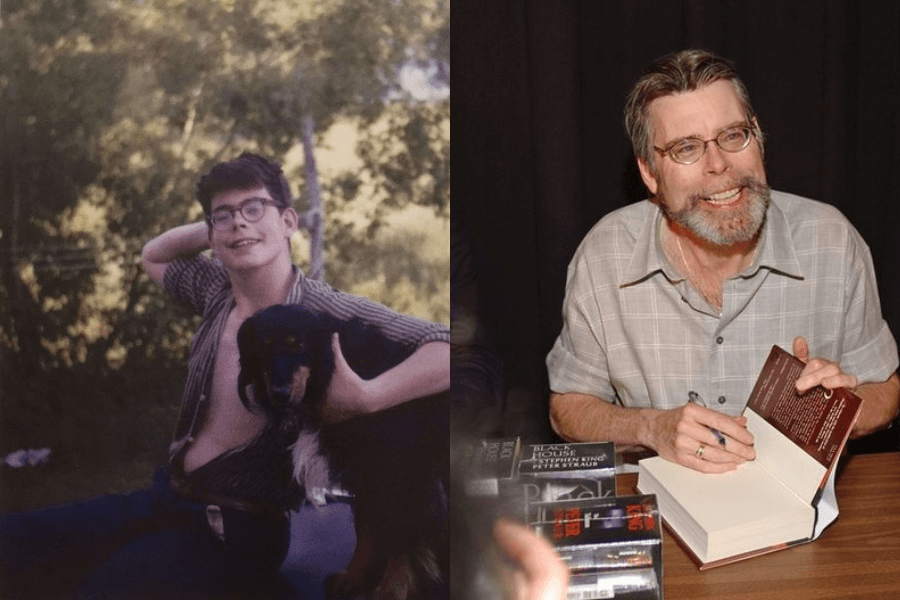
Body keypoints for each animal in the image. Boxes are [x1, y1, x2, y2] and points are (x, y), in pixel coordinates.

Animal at [236, 304, 446, 600]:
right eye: (263, 345)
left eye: (298, 344)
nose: (280, 393)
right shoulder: (365, 471)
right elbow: (367, 525)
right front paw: (354, 576)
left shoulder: (400, 472)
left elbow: (402, 538)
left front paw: (391, 589)